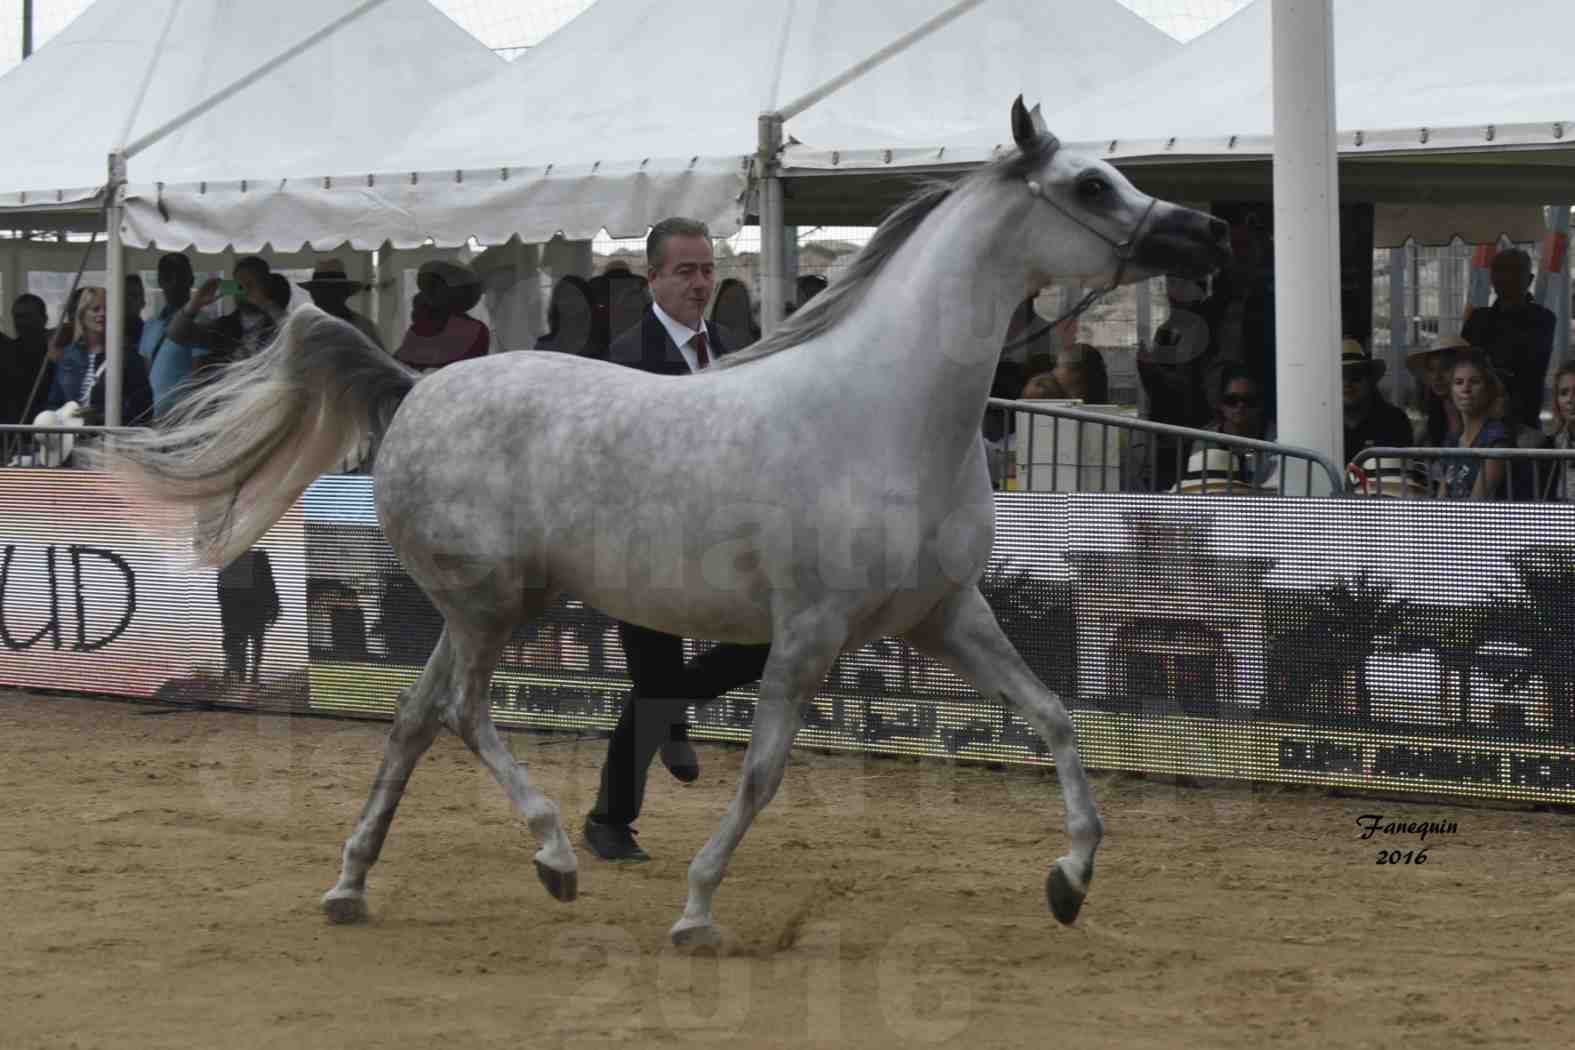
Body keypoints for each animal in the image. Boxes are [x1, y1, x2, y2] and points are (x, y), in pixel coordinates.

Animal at [104, 100, 1228, 950]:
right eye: (1090, 186)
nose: (1208, 235)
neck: (886, 414)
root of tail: (414, 386)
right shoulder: (812, 631)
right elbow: (765, 771)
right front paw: (695, 910)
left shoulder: (942, 617)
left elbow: (1056, 718)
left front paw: (1070, 879)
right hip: (485, 606)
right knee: (464, 715)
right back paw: (555, 856)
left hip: (494, 607)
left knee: (416, 720)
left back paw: (352, 885)